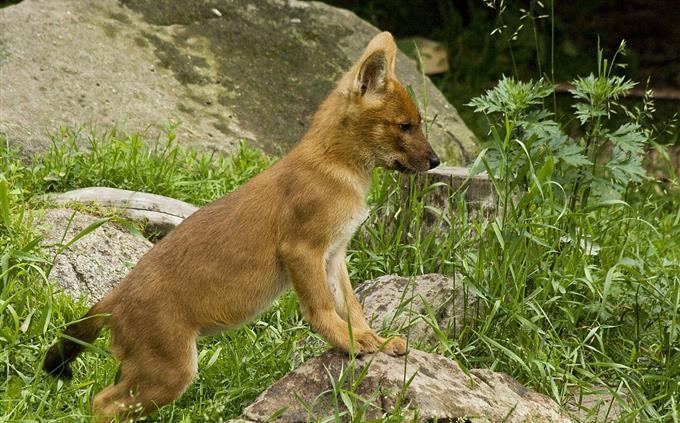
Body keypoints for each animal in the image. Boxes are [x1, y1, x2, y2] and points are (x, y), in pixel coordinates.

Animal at [46, 31, 440, 420]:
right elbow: (322, 308)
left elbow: (352, 306)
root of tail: (112, 296)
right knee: (102, 403)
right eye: (405, 126)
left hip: (142, 370)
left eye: (418, 123)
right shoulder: (302, 250)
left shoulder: (335, 254)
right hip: (170, 370)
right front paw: (349, 342)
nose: (436, 160)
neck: (338, 170)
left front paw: (375, 339)